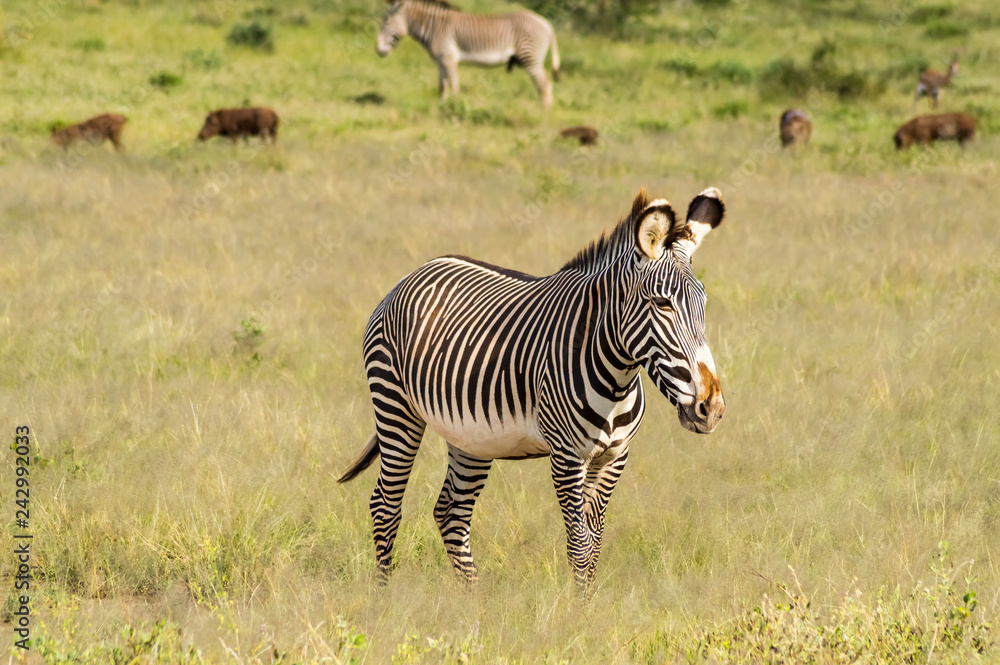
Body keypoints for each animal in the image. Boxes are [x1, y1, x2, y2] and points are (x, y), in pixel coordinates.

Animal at [339, 188, 728, 594]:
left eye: (703, 304)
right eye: (662, 303)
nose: (711, 408)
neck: (616, 375)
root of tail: (416, 272)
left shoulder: (613, 457)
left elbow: (595, 542)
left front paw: (588, 603)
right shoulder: (567, 456)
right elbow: (580, 545)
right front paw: (580, 609)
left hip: (471, 436)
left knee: (451, 512)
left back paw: (475, 601)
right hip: (395, 406)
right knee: (386, 504)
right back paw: (384, 595)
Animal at [376, 0, 560, 110]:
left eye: (385, 22)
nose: (377, 50)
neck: (435, 28)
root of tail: (547, 23)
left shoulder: (449, 59)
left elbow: (454, 85)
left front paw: (454, 107)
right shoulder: (441, 62)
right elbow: (443, 85)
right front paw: (441, 105)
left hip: (530, 57)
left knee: (545, 84)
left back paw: (544, 113)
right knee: (543, 85)